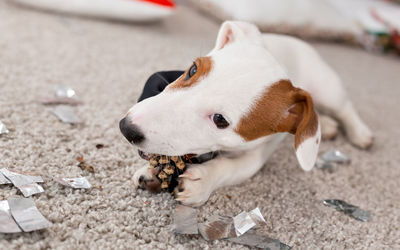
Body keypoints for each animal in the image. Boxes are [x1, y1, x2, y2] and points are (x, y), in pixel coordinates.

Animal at [118, 21, 372, 206]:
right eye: (192, 70)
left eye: (220, 120)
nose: (126, 127)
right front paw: (152, 172)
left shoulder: (256, 157)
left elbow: (229, 168)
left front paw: (201, 180)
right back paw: (326, 125)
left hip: (328, 89)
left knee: (345, 108)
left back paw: (360, 133)